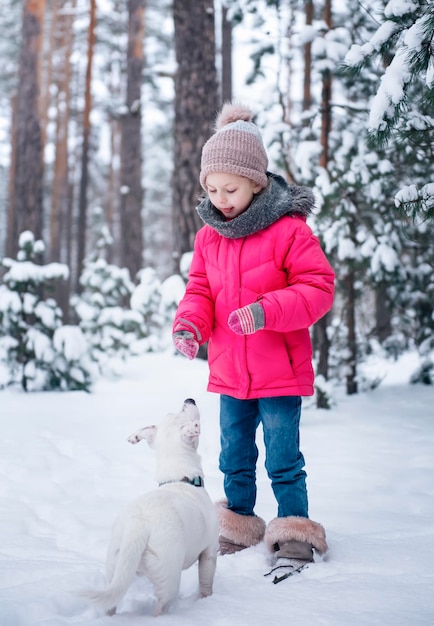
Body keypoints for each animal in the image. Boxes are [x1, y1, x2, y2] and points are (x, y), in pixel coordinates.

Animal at [82, 400, 219, 616]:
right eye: (182, 412)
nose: (189, 399)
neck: (180, 478)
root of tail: (138, 526)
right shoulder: (209, 552)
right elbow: (206, 584)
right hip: (169, 577)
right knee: (161, 607)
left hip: (116, 567)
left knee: (110, 603)